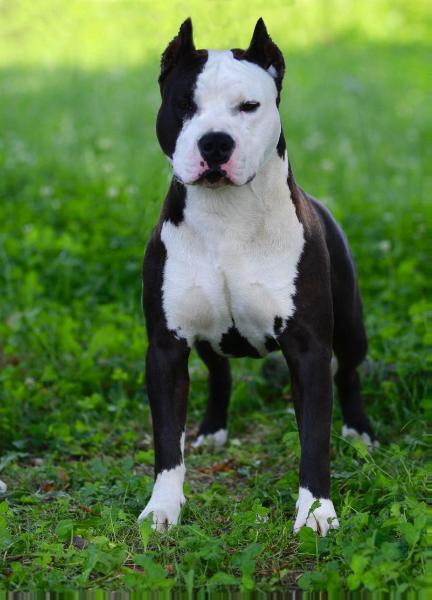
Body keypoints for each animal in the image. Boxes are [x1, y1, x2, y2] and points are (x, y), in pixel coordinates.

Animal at [138, 17, 374, 536]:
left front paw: (316, 511)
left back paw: (360, 431)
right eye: (184, 104)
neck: (226, 218)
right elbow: (166, 439)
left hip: (351, 328)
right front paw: (163, 507)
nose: (215, 142)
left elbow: (315, 438)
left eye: (249, 106)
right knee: (220, 372)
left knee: (349, 372)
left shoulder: (308, 349)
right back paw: (211, 429)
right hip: (207, 337)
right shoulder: (165, 349)